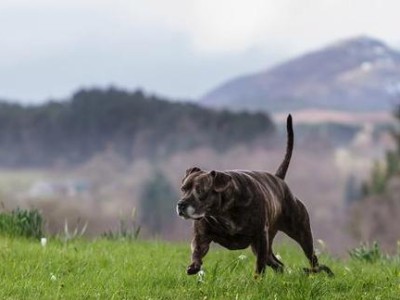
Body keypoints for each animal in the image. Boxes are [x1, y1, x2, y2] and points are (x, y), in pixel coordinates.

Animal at [177, 115, 332, 276]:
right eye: (183, 189)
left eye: (201, 190)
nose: (180, 204)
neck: (223, 212)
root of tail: (279, 179)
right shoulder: (201, 237)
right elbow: (196, 251)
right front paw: (194, 266)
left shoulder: (260, 237)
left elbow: (259, 266)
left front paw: (257, 280)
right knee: (277, 264)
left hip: (301, 233)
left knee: (311, 258)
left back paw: (317, 272)